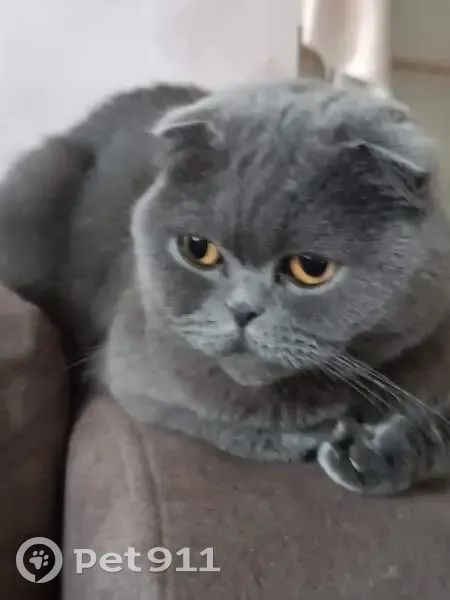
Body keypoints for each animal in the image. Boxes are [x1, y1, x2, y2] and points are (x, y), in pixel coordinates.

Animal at [1, 78, 450, 495]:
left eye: (311, 268)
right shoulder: (129, 369)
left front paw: (376, 453)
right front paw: (313, 437)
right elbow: (201, 414)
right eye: (198, 249)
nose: (242, 310)